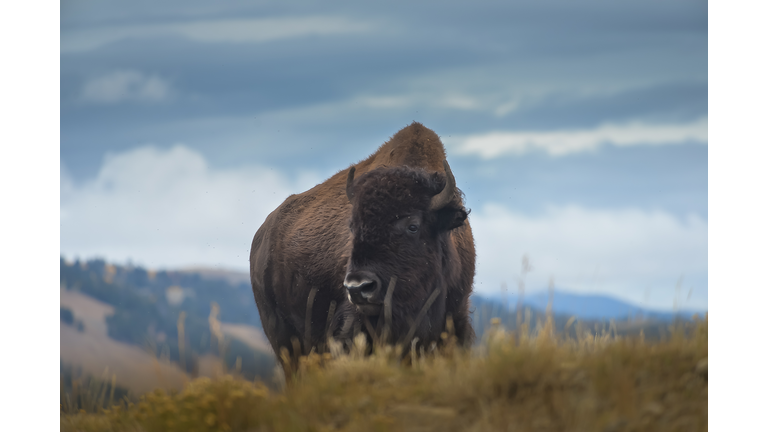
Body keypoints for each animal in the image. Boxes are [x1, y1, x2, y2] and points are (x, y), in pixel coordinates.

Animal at [249, 122, 474, 372]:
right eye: (352, 226)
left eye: (413, 226)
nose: (358, 288)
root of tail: (262, 234)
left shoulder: (456, 316)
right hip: (280, 333)